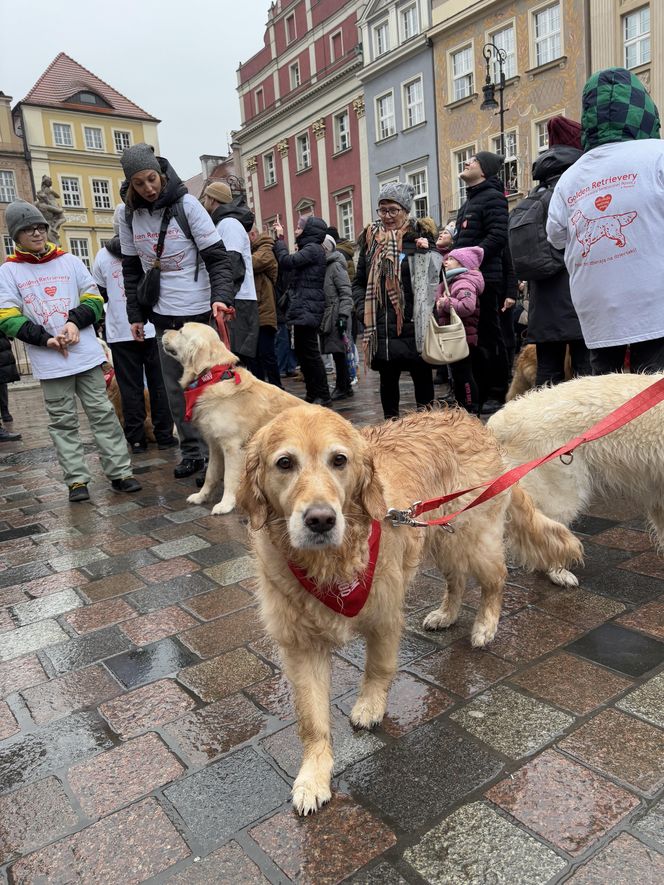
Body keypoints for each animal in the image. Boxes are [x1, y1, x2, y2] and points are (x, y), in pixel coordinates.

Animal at [162, 322, 302, 516]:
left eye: (181, 331)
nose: (163, 331)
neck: (211, 378)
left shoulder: (233, 447)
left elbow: (229, 477)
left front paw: (226, 504)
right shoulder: (214, 445)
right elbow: (210, 474)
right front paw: (201, 496)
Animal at [236, 404, 580, 812]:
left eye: (339, 460)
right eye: (285, 463)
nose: (320, 520)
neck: (331, 565)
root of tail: (473, 423)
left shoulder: (384, 614)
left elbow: (379, 666)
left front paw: (370, 707)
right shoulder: (301, 645)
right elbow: (311, 718)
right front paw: (312, 777)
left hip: (472, 537)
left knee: (496, 579)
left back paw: (485, 626)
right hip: (440, 537)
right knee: (457, 580)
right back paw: (446, 615)